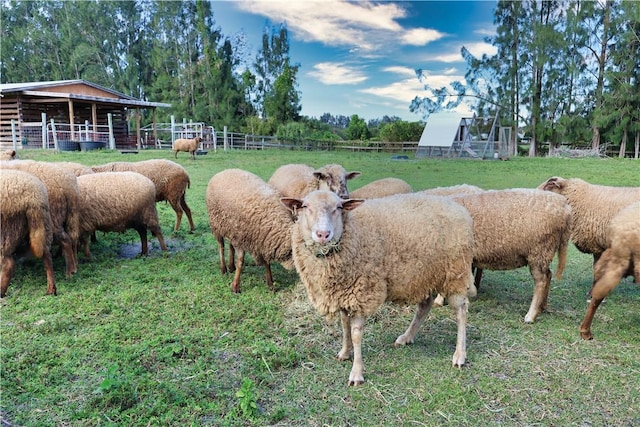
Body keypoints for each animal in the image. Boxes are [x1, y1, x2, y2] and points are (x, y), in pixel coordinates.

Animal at [0, 168, 56, 298]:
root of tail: (33, 199)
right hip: (43, 226)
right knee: (47, 256)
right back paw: (51, 289)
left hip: (7, 230)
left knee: (8, 264)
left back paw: (1, 291)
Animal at [282, 192, 476, 386]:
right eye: (305, 207)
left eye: (338, 207)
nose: (323, 234)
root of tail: (458, 208)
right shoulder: (343, 294)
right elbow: (344, 326)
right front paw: (344, 352)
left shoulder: (362, 292)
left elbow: (356, 334)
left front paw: (356, 373)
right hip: (426, 276)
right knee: (424, 307)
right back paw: (406, 337)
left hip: (455, 273)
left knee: (461, 311)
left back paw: (459, 355)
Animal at [444, 191, 576, 324]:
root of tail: (565, 207)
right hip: (544, 252)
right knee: (548, 275)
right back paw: (542, 307)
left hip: (540, 250)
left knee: (541, 280)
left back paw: (531, 315)